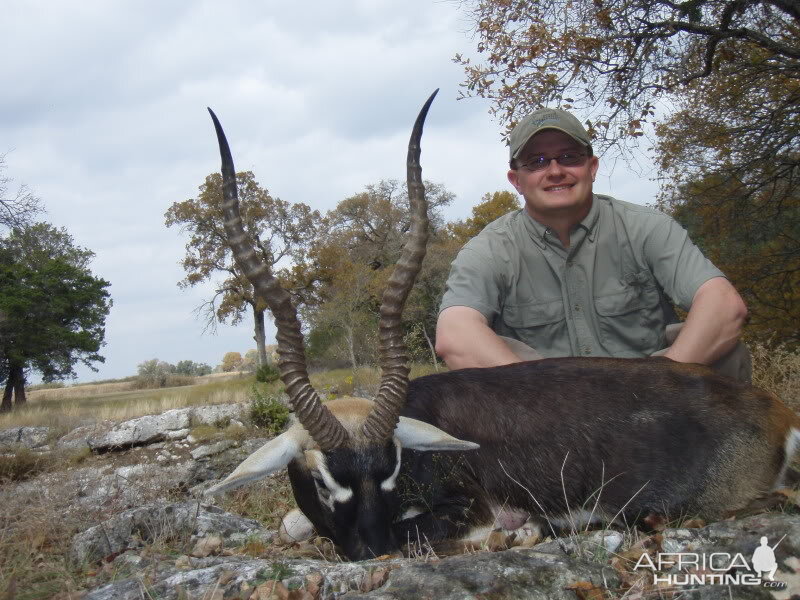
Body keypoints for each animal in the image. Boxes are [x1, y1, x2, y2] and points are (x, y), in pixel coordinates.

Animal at [205, 92, 800, 556]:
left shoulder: (468, 508)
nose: (370, 550)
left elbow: (438, 530)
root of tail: (774, 410)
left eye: (391, 468)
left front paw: (515, 534)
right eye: (322, 478)